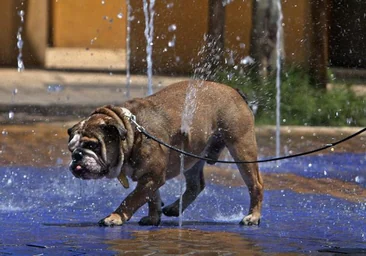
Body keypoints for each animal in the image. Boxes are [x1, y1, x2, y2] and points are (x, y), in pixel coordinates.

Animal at [67, 80, 264, 226]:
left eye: (92, 145)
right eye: (71, 148)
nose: (77, 155)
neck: (132, 132)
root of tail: (235, 91)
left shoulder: (151, 176)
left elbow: (131, 199)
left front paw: (115, 217)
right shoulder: (148, 177)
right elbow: (152, 198)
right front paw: (153, 217)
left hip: (242, 148)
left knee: (255, 184)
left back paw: (253, 216)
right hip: (191, 156)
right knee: (196, 185)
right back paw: (174, 208)